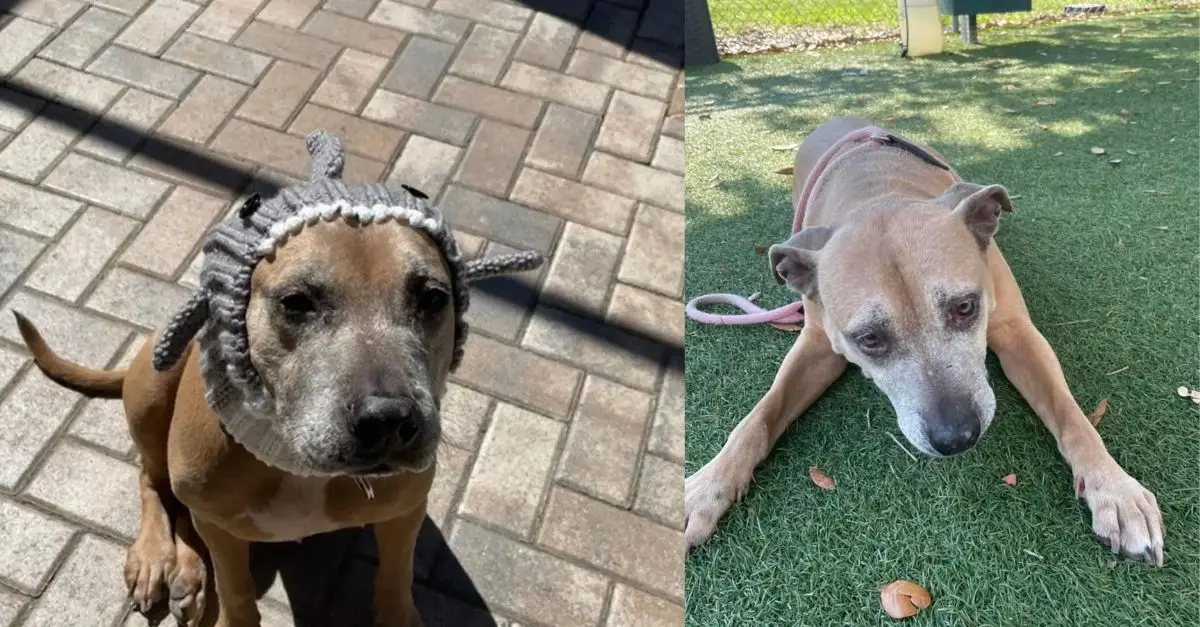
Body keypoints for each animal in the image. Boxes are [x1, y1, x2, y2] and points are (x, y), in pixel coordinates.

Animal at [15, 217, 451, 619]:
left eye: (434, 298)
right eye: (296, 302)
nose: (388, 419)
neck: (294, 461)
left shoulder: (404, 513)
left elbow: (395, 578)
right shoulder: (222, 532)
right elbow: (235, 589)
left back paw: (187, 572)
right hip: (156, 386)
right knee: (154, 480)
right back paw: (156, 558)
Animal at [686, 114, 1161, 564]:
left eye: (965, 307)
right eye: (869, 339)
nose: (957, 437)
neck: (877, 193)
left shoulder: (1016, 331)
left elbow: (1071, 415)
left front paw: (1115, 491)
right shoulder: (817, 345)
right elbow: (759, 417)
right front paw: (707, 486)